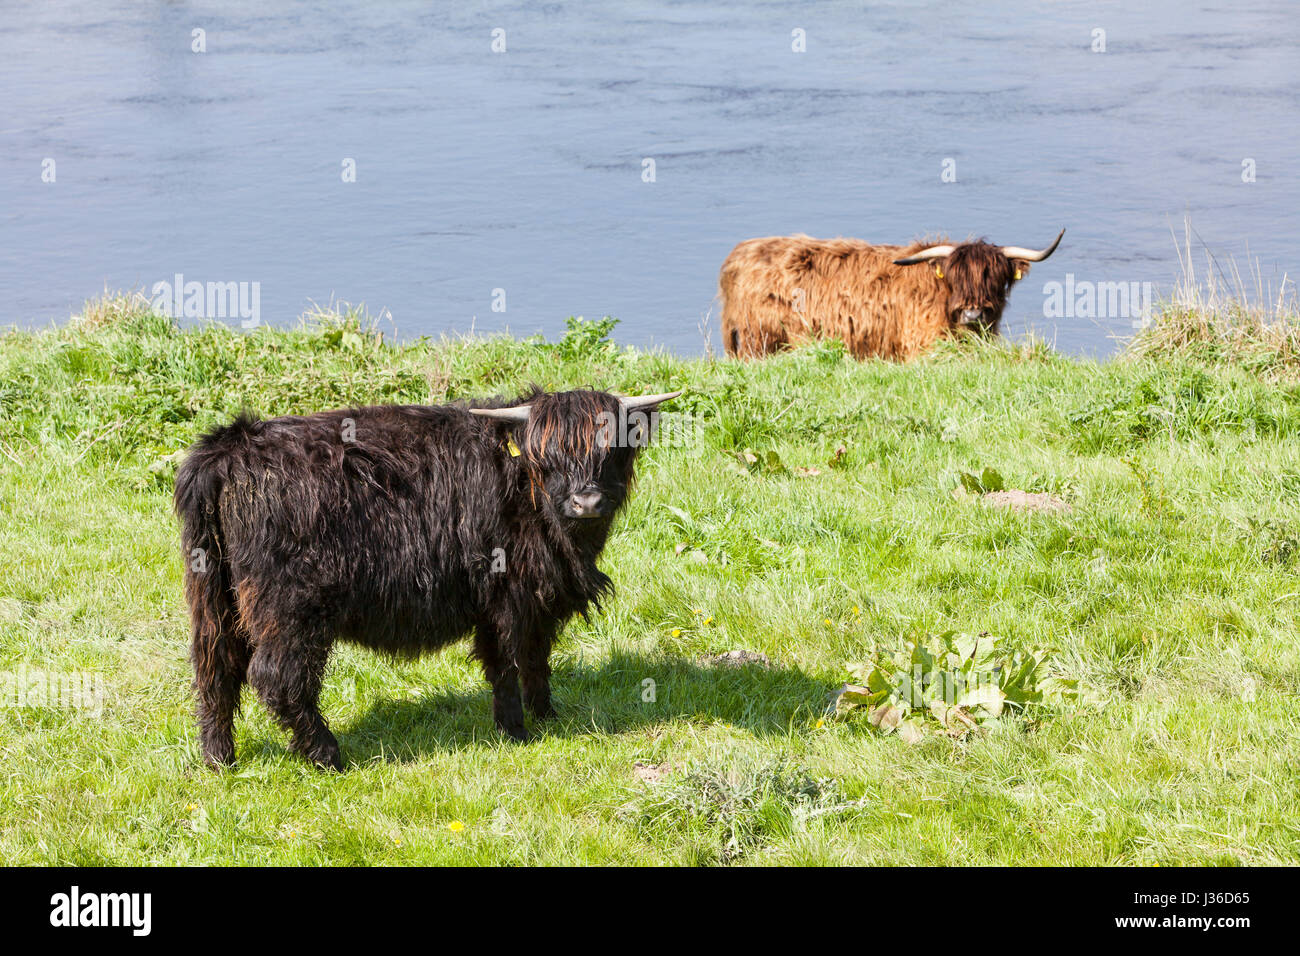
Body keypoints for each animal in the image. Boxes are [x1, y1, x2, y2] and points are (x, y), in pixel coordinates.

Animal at [175, 385, 681, 764]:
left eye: (610, 450)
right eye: (548, 457)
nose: (587, 501)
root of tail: (230, 447)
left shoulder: (540, 597)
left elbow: (537, 656)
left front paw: (548, 716)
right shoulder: (503, 591)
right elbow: (507, 661)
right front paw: (516, 730)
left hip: (215, 596)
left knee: (215, 668)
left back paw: (219, 759)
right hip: (290, 607)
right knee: (277, 676)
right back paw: (327, 755)